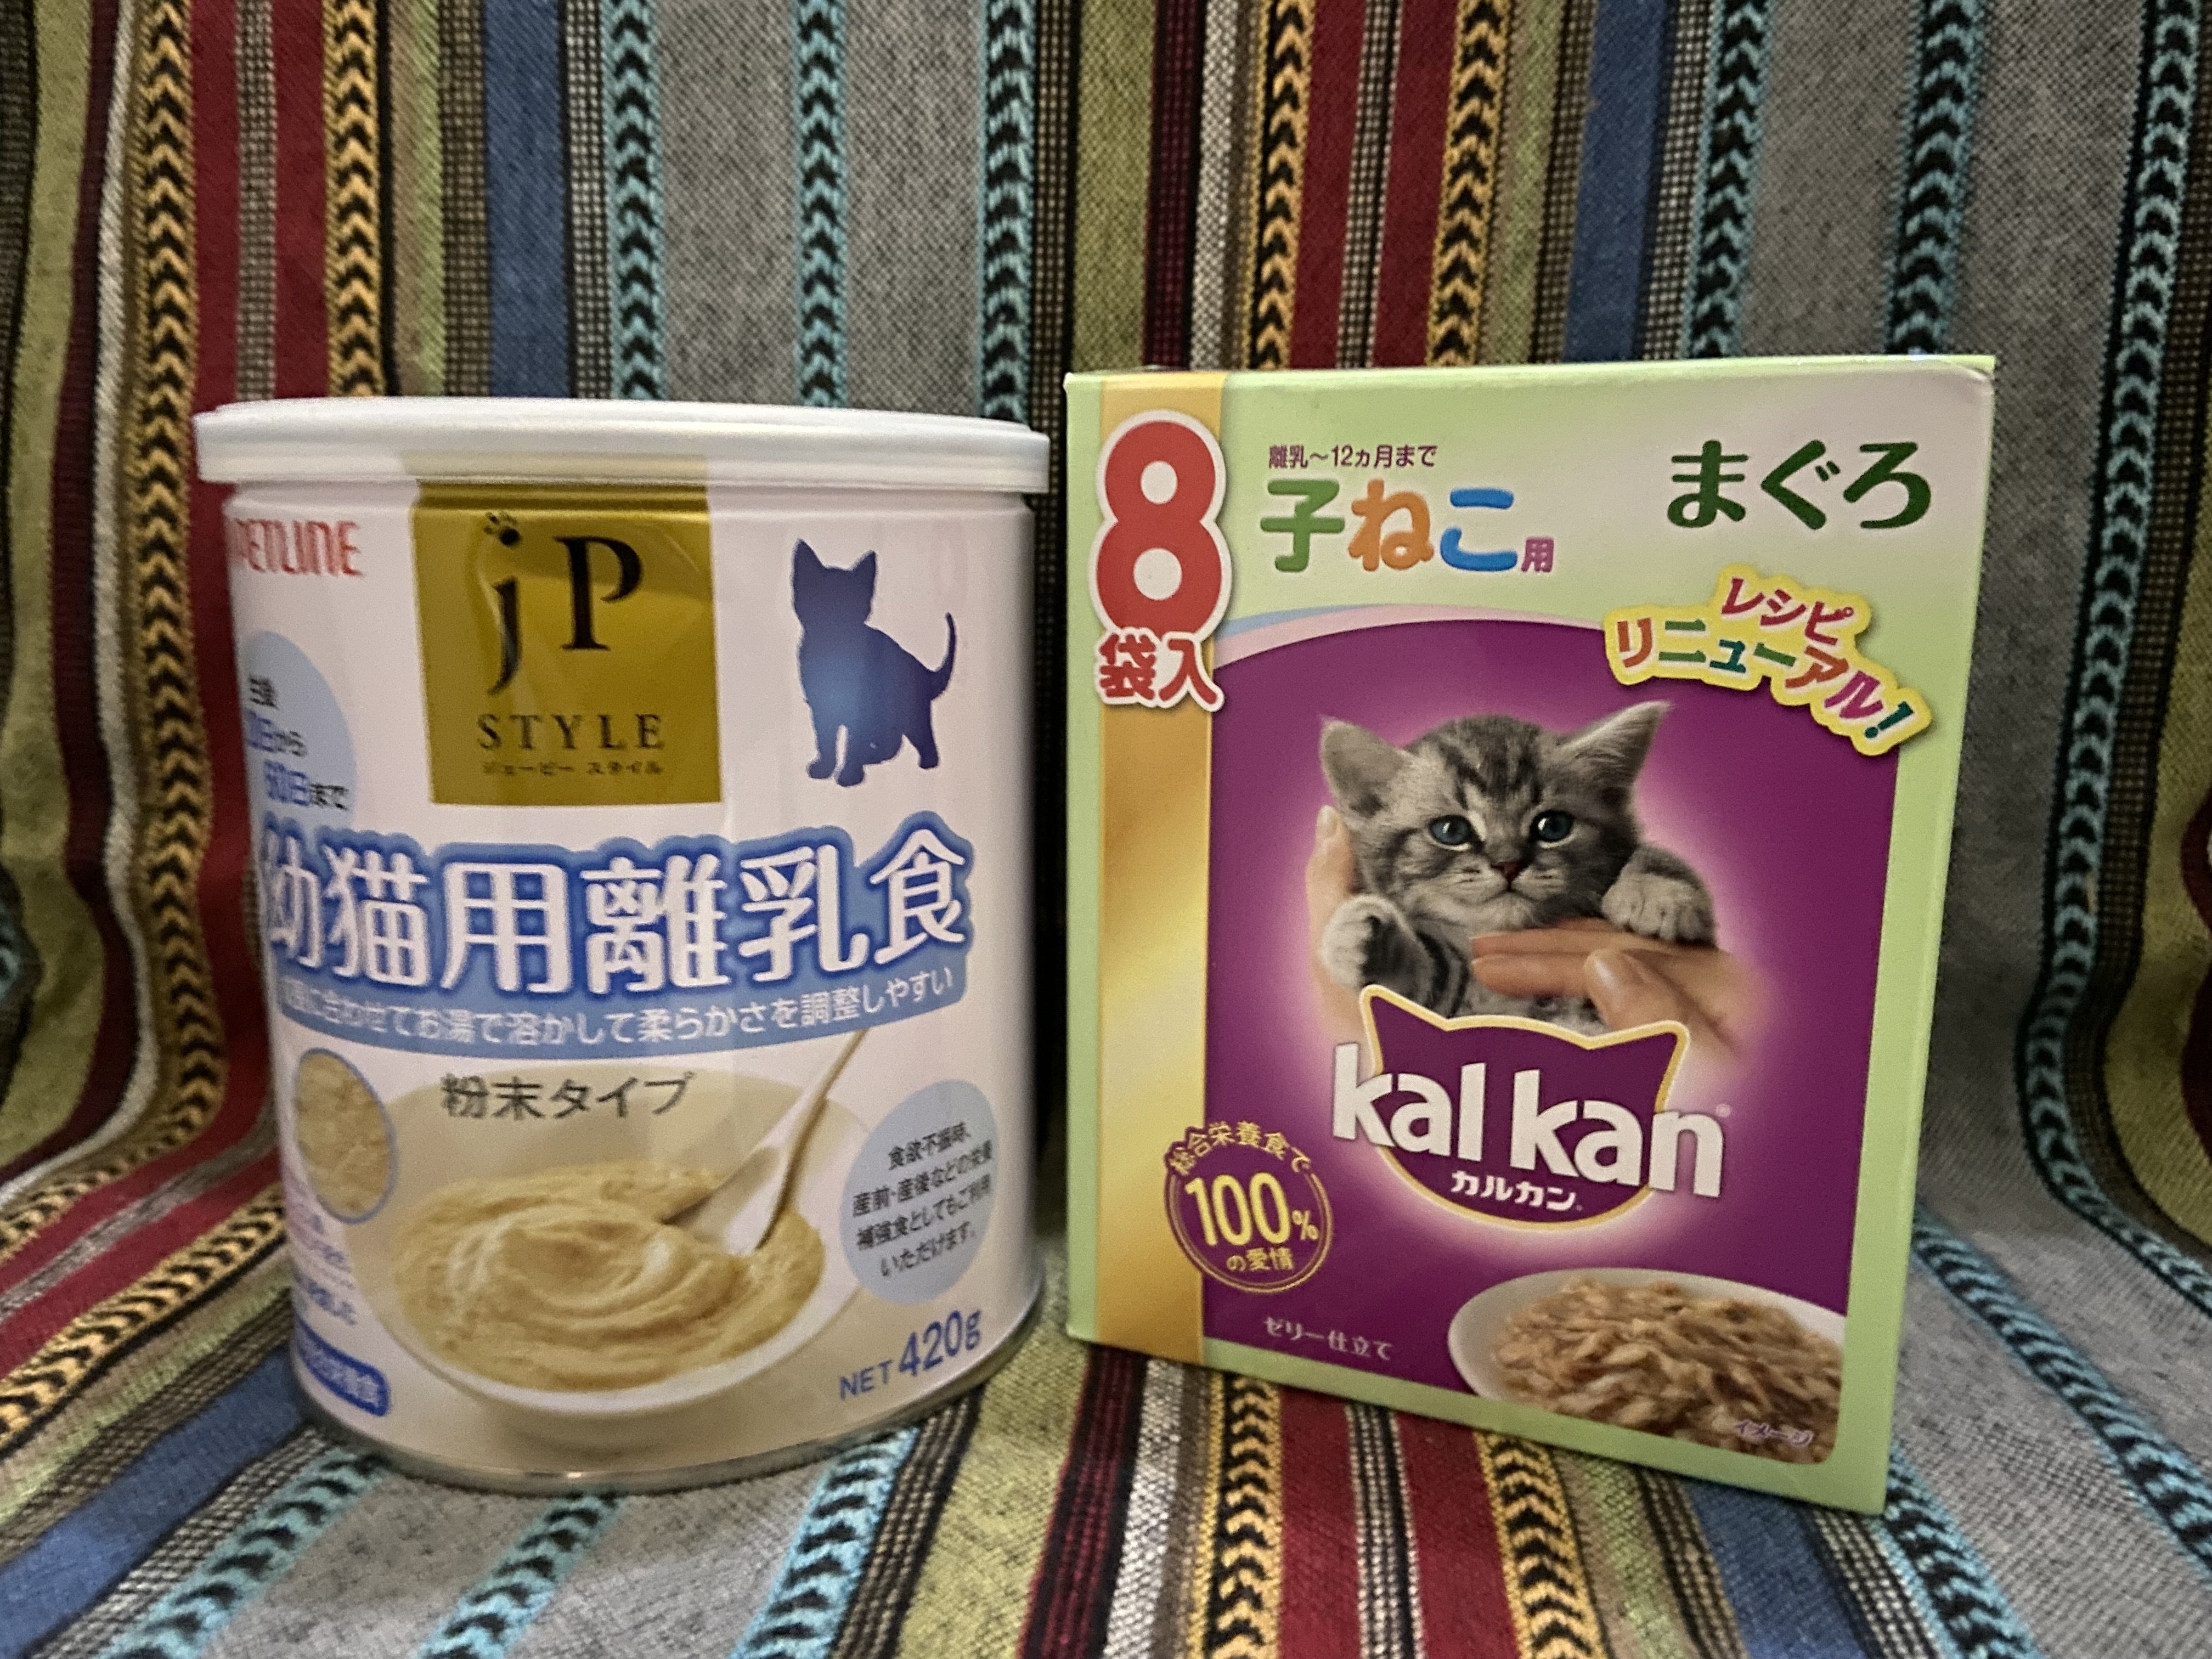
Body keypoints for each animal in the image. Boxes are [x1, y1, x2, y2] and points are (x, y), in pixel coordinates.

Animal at [792, 541, 956, 787]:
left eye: (853, 606)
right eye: (819, 603)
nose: (836, 621)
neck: (835, 652)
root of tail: (925, 672)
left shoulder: (861, 708)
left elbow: (853, 742)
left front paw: (850, 775)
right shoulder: (820, 704)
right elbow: (825, 739)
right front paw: (825, 767)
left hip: (911, 713)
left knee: (921, 739)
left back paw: (926, 762)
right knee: (892, 744)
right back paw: (872, 757)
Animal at [1317, 701, 1713, 1033]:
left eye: (1553, 827)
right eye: (1451, 831)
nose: (1508, 864)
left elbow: (1652, 857)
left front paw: (1657, 893)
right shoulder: (1462, 1002)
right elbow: (1432, 979)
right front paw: (1370, 939)